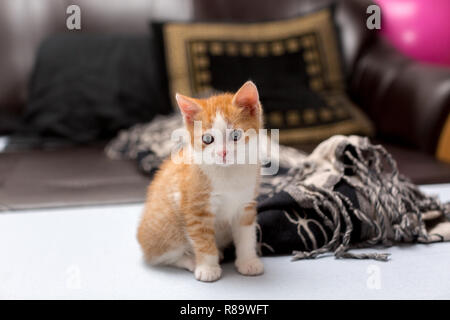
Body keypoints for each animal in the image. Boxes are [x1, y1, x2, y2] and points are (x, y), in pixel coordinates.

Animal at [137, 81, 264, 282]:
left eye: (236, 135)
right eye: (207, 139)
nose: (223, 153)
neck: (228, 173)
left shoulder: (246, 205)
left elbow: (246, 235)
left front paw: (248, 262)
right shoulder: (195, 209)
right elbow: (202, 239)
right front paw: (208, 268)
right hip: (167, 226)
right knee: (159, 257)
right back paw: (190, 260)